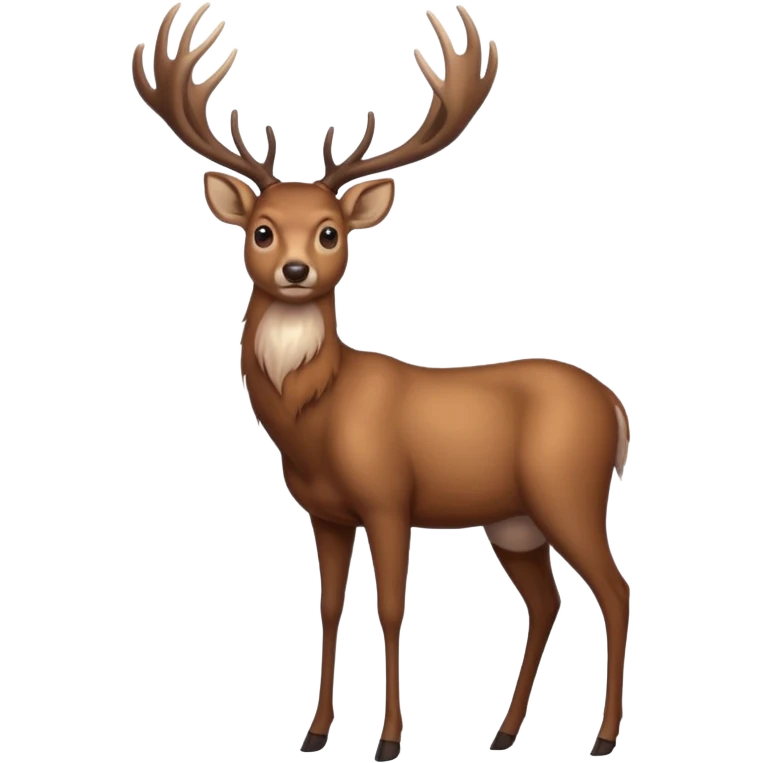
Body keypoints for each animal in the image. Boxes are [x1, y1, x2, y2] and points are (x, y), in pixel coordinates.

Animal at [132, 2, 632, 759]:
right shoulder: (326, 512)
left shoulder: (390, 498)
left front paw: (389, 738)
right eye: (263, 230)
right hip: (512, 520)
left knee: (614, 588)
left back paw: (600, 737)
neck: (316, 418)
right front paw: (315, 732)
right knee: (546, 600)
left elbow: (391, 607)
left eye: (330, 231)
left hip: (567, 490)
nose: (297, 270)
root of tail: (616, 405)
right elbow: (329, 606)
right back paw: (504, 730)